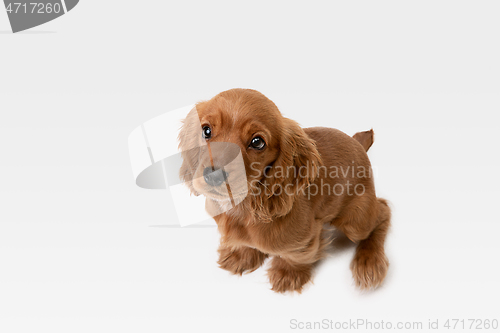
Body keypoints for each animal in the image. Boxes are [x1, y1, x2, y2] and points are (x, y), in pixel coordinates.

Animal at [179, 89, 390, 294]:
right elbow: (244, 242)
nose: (213, 176)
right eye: (206, 130)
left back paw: (368, 262)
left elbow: (296, 255)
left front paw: (288, 273)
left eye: (257, 142)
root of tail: (358, 144)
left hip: (356, 220)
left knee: (383, 211)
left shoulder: (306, 236)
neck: (244, 208)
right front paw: (242, 254)